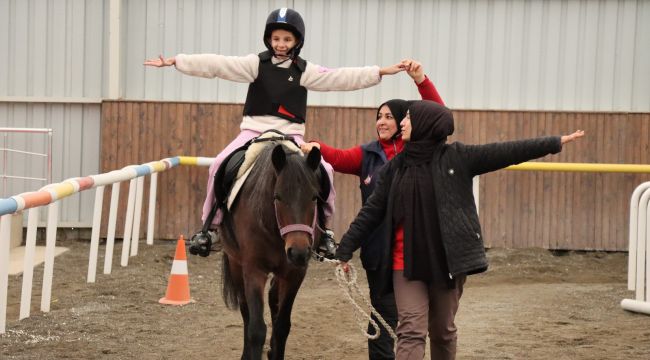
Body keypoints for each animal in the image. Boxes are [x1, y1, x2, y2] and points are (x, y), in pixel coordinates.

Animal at [219, 142, 322, 358]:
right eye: (278, 197)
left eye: (314, 197)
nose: (299, 252)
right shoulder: (254, 270)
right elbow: (256, 329)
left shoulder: (295, 273)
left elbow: (282, 326)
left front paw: (275, 352)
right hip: (235, 264)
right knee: (245, 312)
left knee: (273, 300)